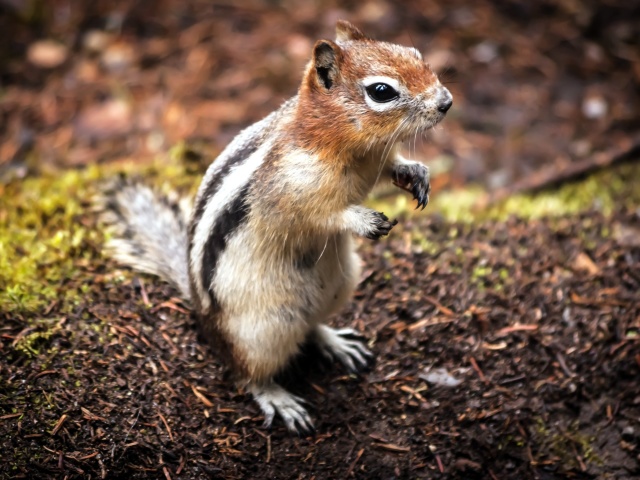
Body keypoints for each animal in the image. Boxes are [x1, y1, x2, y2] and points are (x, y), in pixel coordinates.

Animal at [99, 20, 450, 436]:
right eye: (382, 92)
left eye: (414, 52)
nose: (446, 101)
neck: (348, 143)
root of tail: (203, 314)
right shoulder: (291, 187)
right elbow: (321, 214)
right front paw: (364, 219)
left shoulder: (377, 159)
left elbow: (392, 166)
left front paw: (416, 172)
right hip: (260, 332)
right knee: (247, 372)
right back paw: (277, 397)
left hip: (341, 284)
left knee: (311, 327)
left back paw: (335, 342)